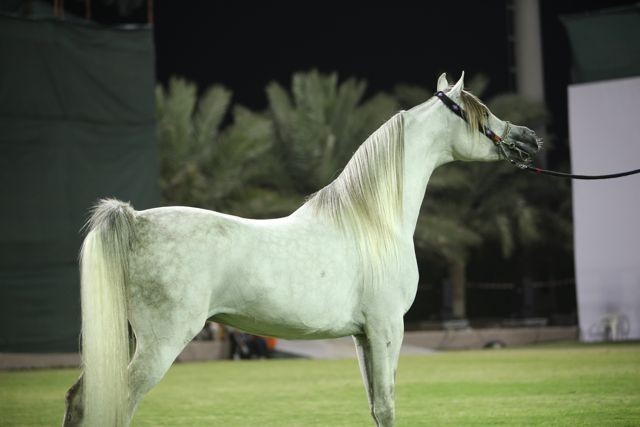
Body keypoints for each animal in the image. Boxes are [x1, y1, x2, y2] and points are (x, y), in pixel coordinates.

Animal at [63, 72, 541, 427]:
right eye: (482, 114)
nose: (529, 138)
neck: (372, 222)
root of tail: (135, 220)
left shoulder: (363, 336)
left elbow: (375, 406)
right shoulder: (388, 328)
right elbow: (387, 406)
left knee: (81, 399)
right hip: (160, 343)